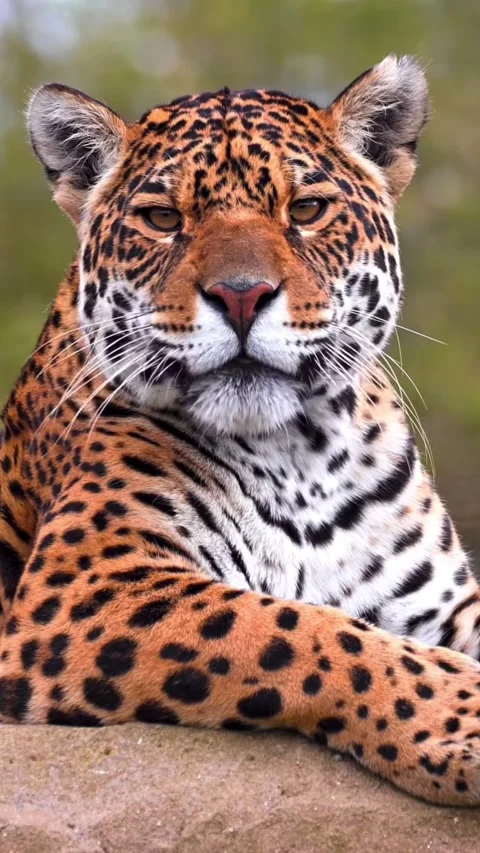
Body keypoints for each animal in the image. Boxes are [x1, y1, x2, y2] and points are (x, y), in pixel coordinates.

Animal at [1, 54, 480, 806]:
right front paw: (464, 721)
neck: (303, 455)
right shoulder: (83, 586)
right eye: (163, 219)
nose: (242, 295)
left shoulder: (440, 604)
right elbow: (297, 628)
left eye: (306, 210)